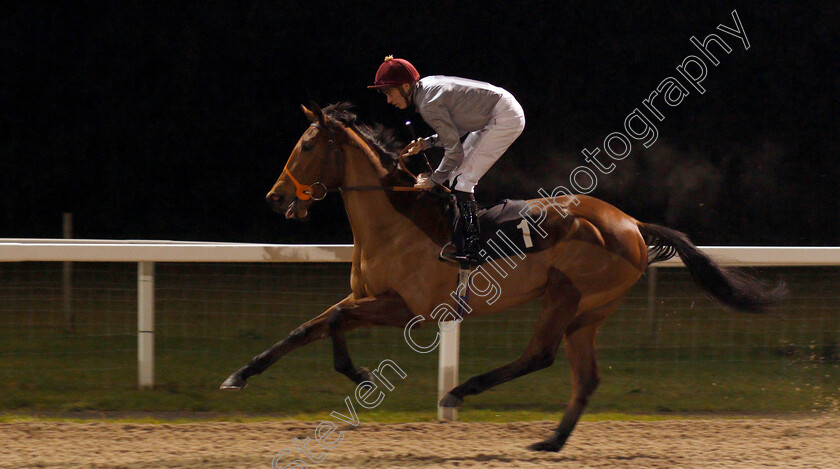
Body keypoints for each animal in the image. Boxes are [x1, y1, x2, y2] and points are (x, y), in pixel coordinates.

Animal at [220, 101, 784, 450]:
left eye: (308, 146)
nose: (275, 197)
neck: (394, 220)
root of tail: (632, 224)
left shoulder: (412, 309)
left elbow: (332, 322)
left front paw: (358, 374)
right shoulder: (369, 298)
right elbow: (311, 327)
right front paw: (242, 375)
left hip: (565, 293)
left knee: (540, 354)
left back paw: (460, 392)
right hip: (591, 312)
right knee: (586, 376)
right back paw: (551, 440)